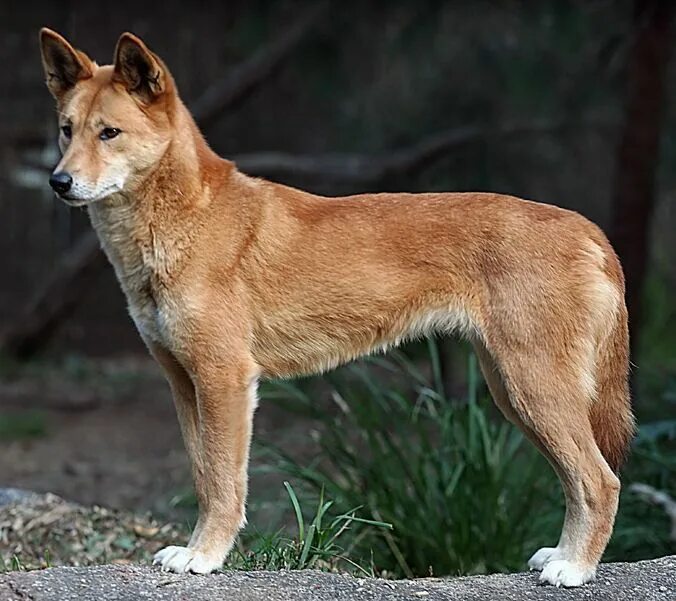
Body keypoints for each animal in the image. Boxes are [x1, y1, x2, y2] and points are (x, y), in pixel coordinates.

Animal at [41, 29, 632, 584]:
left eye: (109, 133)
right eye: (67, 129)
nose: (58, 181)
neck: (184, 221)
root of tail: (589, 230)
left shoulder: (224, 378)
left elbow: (224, 484)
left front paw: (204, 557)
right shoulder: (183, 382)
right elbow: (204, 478)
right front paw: (196, 550)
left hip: (534, 386)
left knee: (600, 480)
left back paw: (574, 569)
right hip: (514, 392)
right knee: (578, 480)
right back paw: (561, 555)